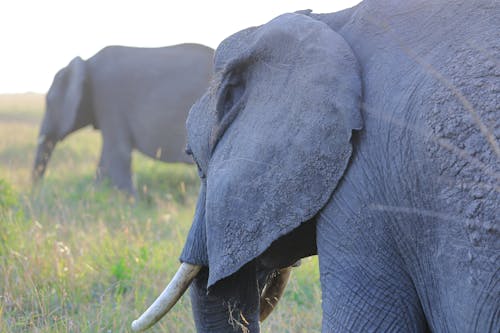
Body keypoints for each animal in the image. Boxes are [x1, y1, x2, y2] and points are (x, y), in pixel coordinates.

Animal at [33, 44, 213, 195]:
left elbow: (117, 153)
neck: (87, 62)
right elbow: (107, 158)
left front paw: (132, 203)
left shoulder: (109, 98)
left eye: (49, 102)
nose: (38, 189)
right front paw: (96, 195)